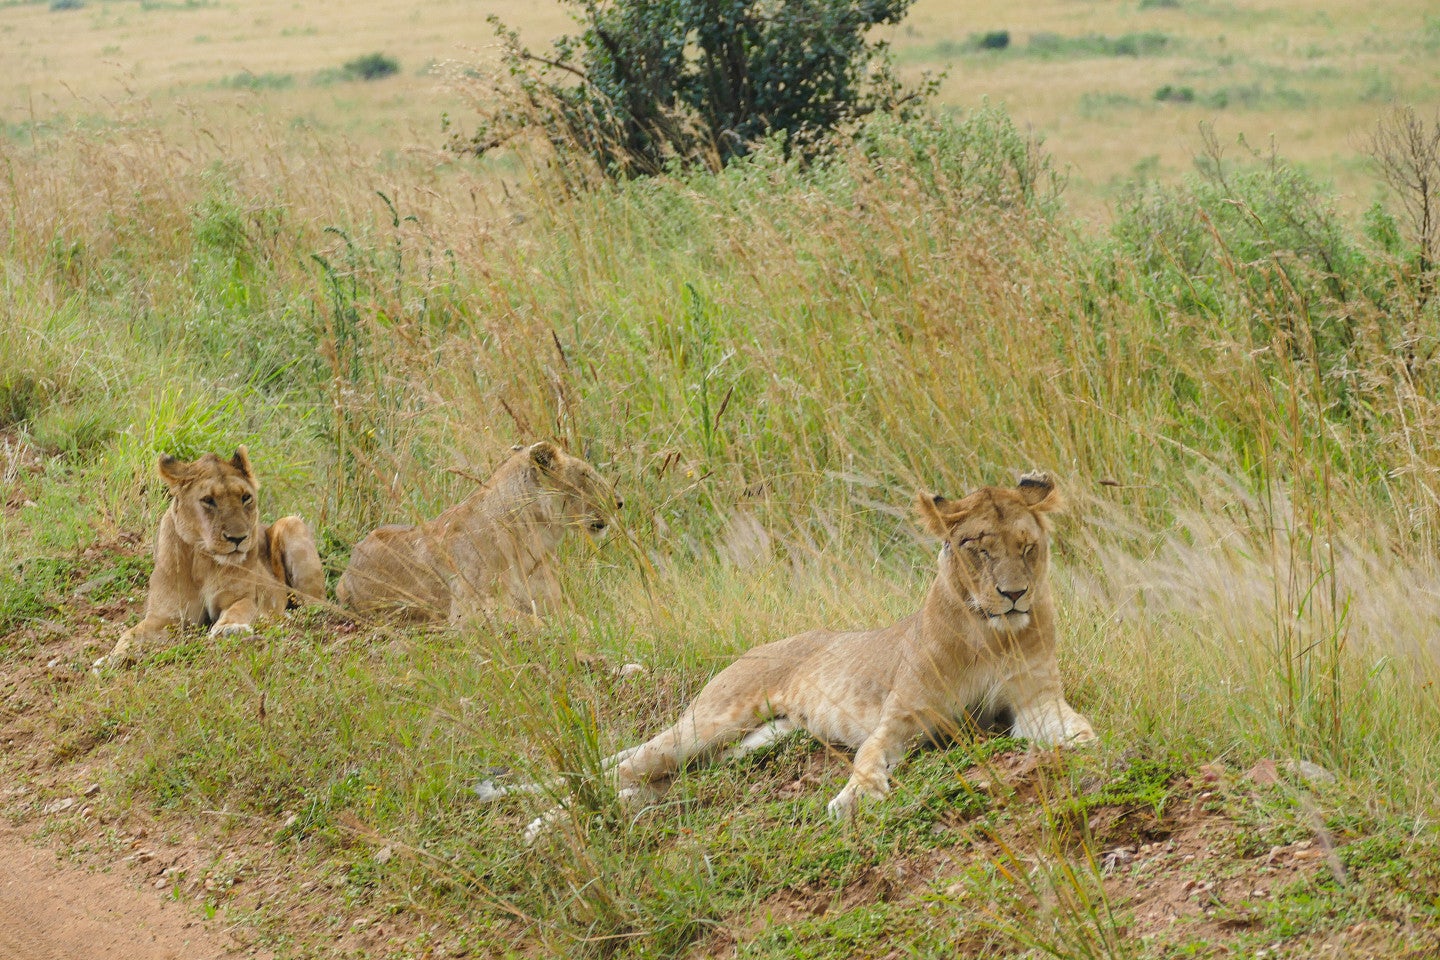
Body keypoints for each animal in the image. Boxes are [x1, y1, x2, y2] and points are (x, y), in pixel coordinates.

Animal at [97, 449, 328, 667]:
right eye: (208, 501)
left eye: (246, 497)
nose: (238, 538)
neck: (203, 559)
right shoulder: (165, 616)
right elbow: (130, 634)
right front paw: (112, 658)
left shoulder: (245, 597)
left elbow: (240, 608)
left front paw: (230, 628)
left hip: (291, 523)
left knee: (317, 605)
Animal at [336, 443, 624, 624]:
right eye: (585, 475)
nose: (620, 502)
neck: (532, 539)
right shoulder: (468, 611)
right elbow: (535, 624)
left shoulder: (551, 603)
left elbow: (583, 621)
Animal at [478, 472, 1094, 834]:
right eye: (978, 548)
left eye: (1027, 546)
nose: (1014, 594)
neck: (991, 633)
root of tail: (753, 650)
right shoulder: (900, 718)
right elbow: (869, 759)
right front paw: (853, 800)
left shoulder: (1035, 701)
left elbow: (1077, 729)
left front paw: (1084, 748)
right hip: (710, 723)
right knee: (621, 769)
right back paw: (546, 824)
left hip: (747, 746)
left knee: (653, 782)